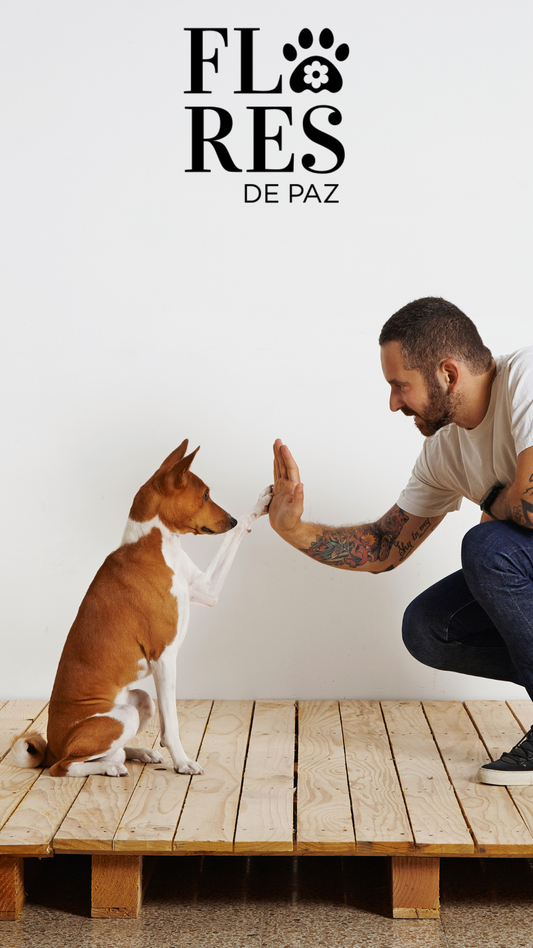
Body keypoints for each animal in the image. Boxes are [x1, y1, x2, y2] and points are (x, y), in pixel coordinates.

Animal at [12, 442, 270, 776]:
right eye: (205, 495)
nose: (232, 521)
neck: (158, 546)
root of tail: (52, 747)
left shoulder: (207, 590)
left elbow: (233, 540)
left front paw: (262, 502)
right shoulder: (164, 658)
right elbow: (171, 724)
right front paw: (183, 761)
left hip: (141, 701)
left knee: (113, 750)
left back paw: (137, 754)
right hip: (121, 717)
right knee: (66, 766)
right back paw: (111, 767)